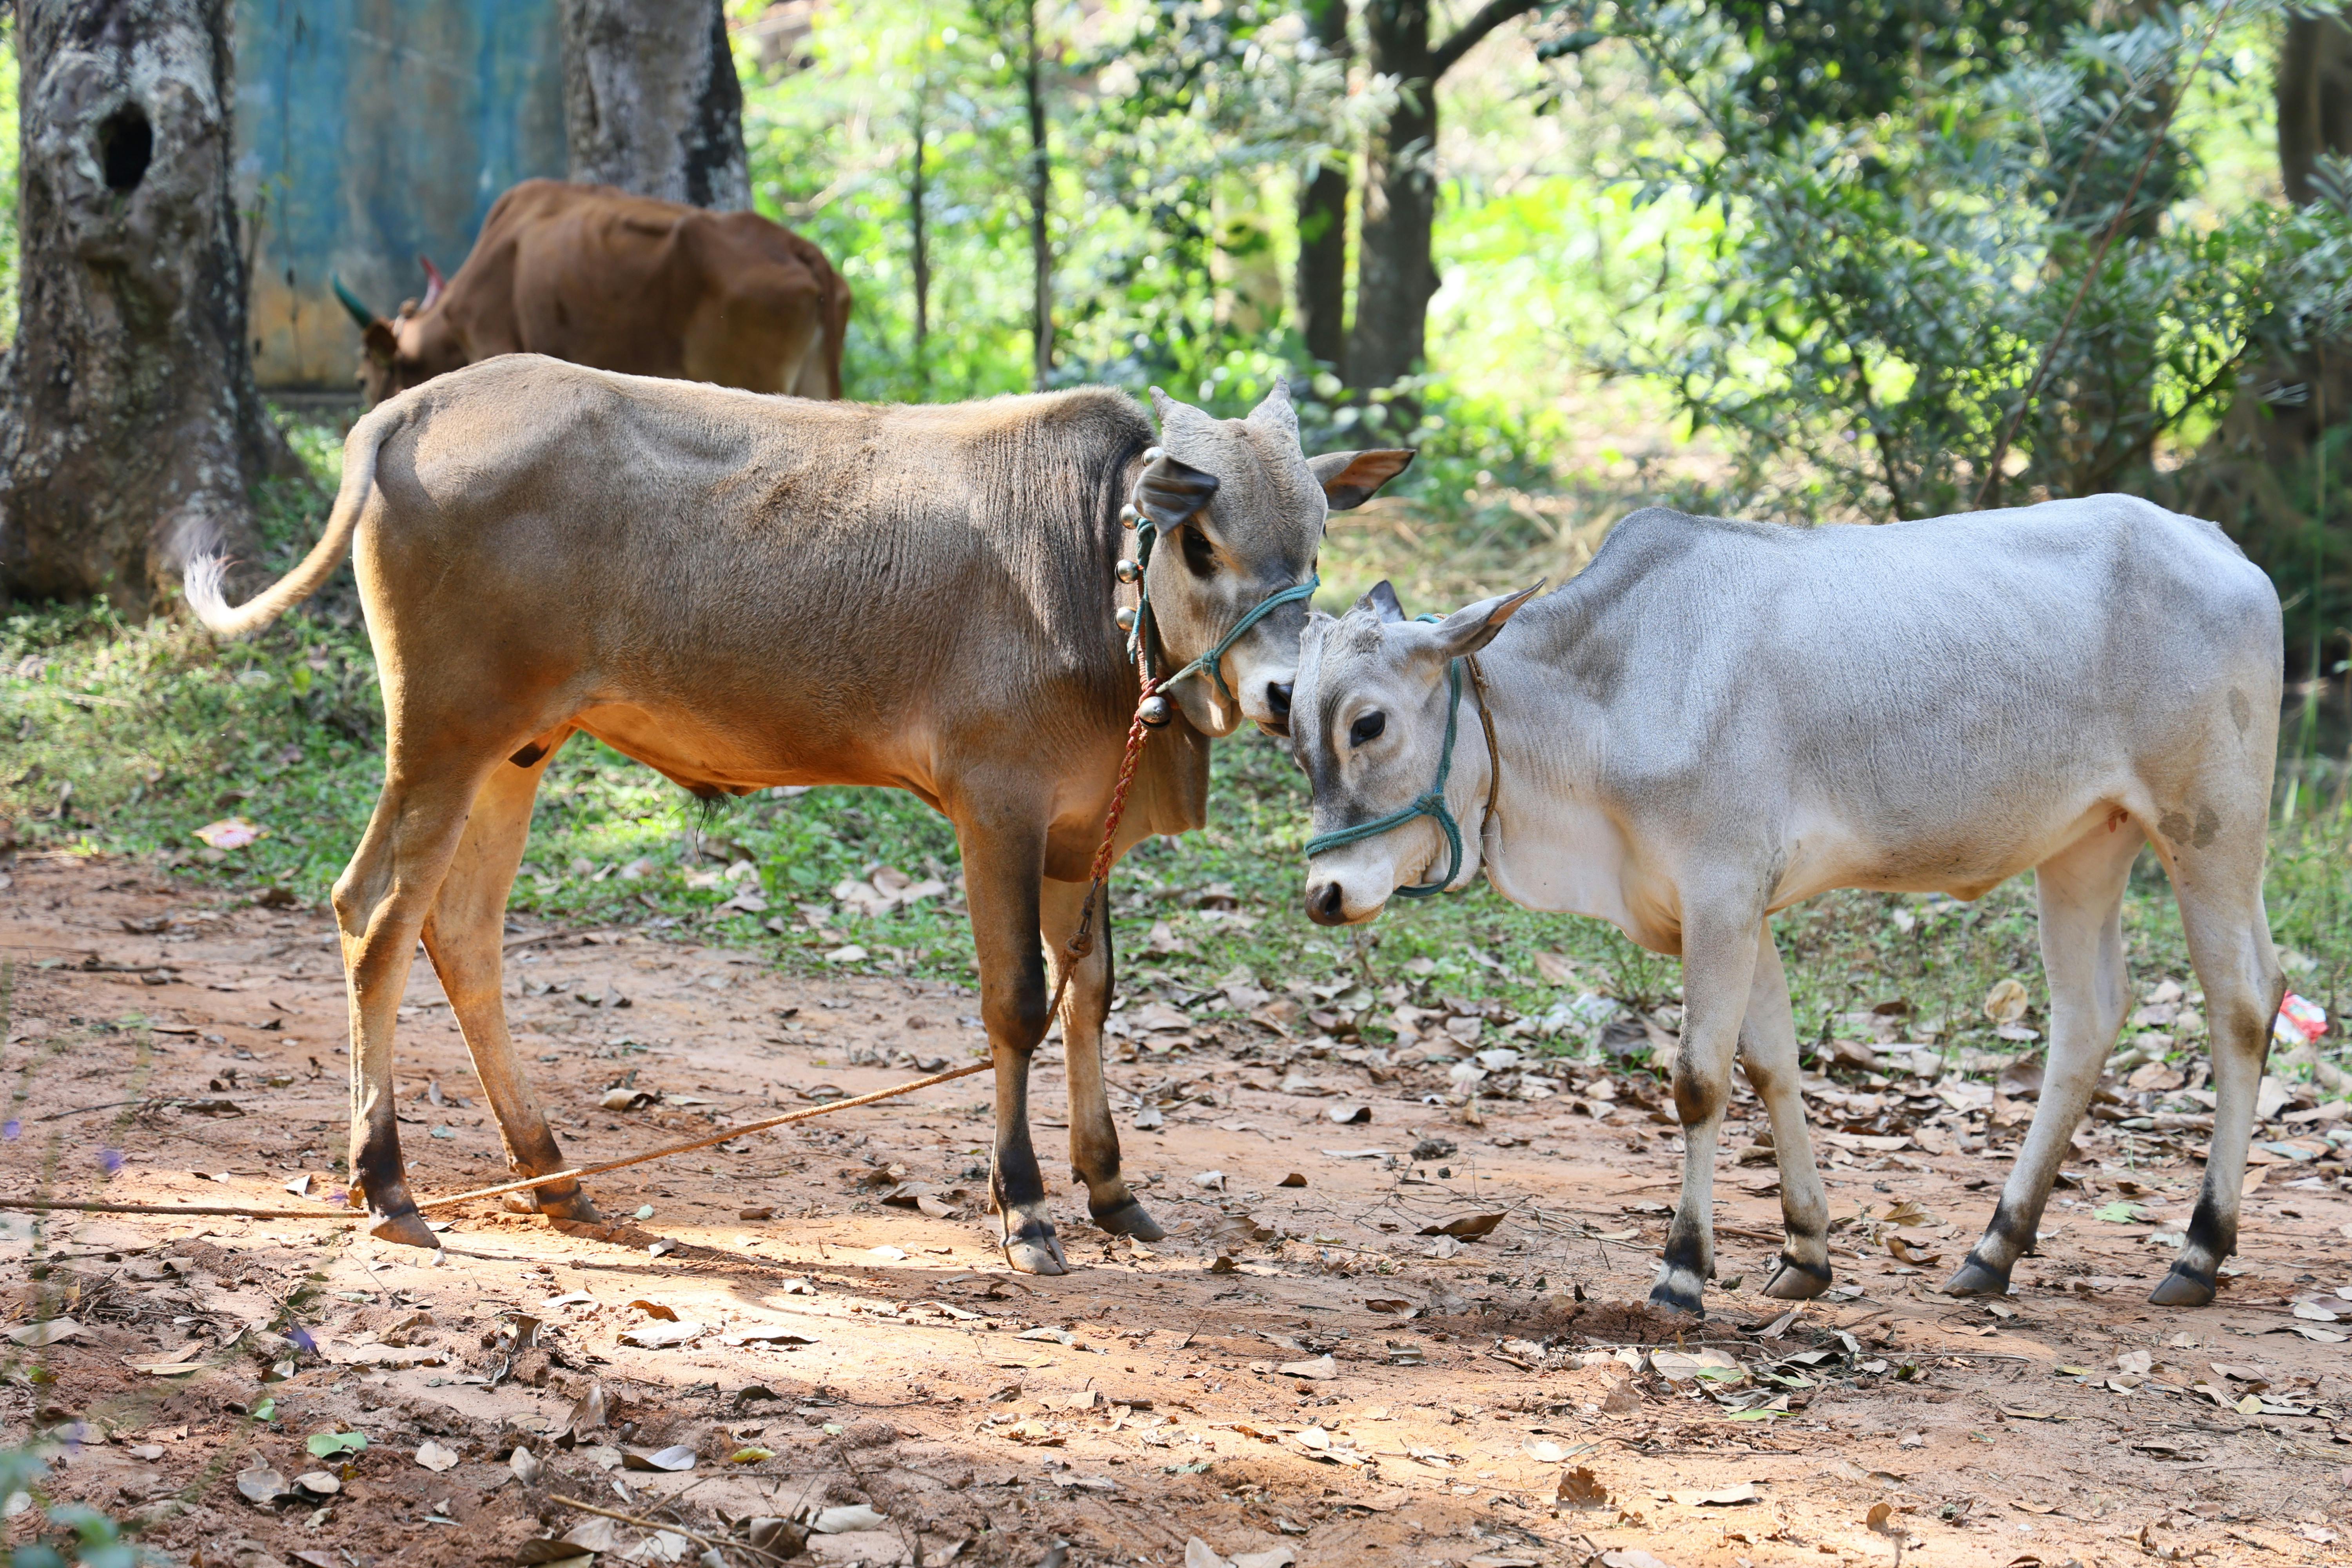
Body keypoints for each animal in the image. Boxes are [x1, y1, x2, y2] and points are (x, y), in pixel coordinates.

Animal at [187, 357, 1412, 1272]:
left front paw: (1112, 1188)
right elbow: (1019, 1003)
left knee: (465, 929)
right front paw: (1022, 1208)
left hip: (518, 748)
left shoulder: (1080, 829)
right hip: (444, 732)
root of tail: (413, 406)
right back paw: (387, 1182)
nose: (1287, 693)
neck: (1089, 568)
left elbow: (1093, 995)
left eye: (1315, 539)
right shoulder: (997, 809)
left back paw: (553, 1173)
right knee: (377, 913)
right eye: (1201, 541)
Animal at [1288, 497, 2285, 1314]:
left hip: (2211, 831)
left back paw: (2199, 1251)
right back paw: (1995, 1247)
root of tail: (2217, 543)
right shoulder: (1739, 909)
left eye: (1369, 723)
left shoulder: (1723, 893)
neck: (1614, 686)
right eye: (1293, 734)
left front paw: (1682, 1269)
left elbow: (1699, 1079)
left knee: (2241, 1004)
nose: (1326, 894)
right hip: (2087, 846)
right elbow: (1772, 1063)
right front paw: (1806, 1250)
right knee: (2091, 1018)